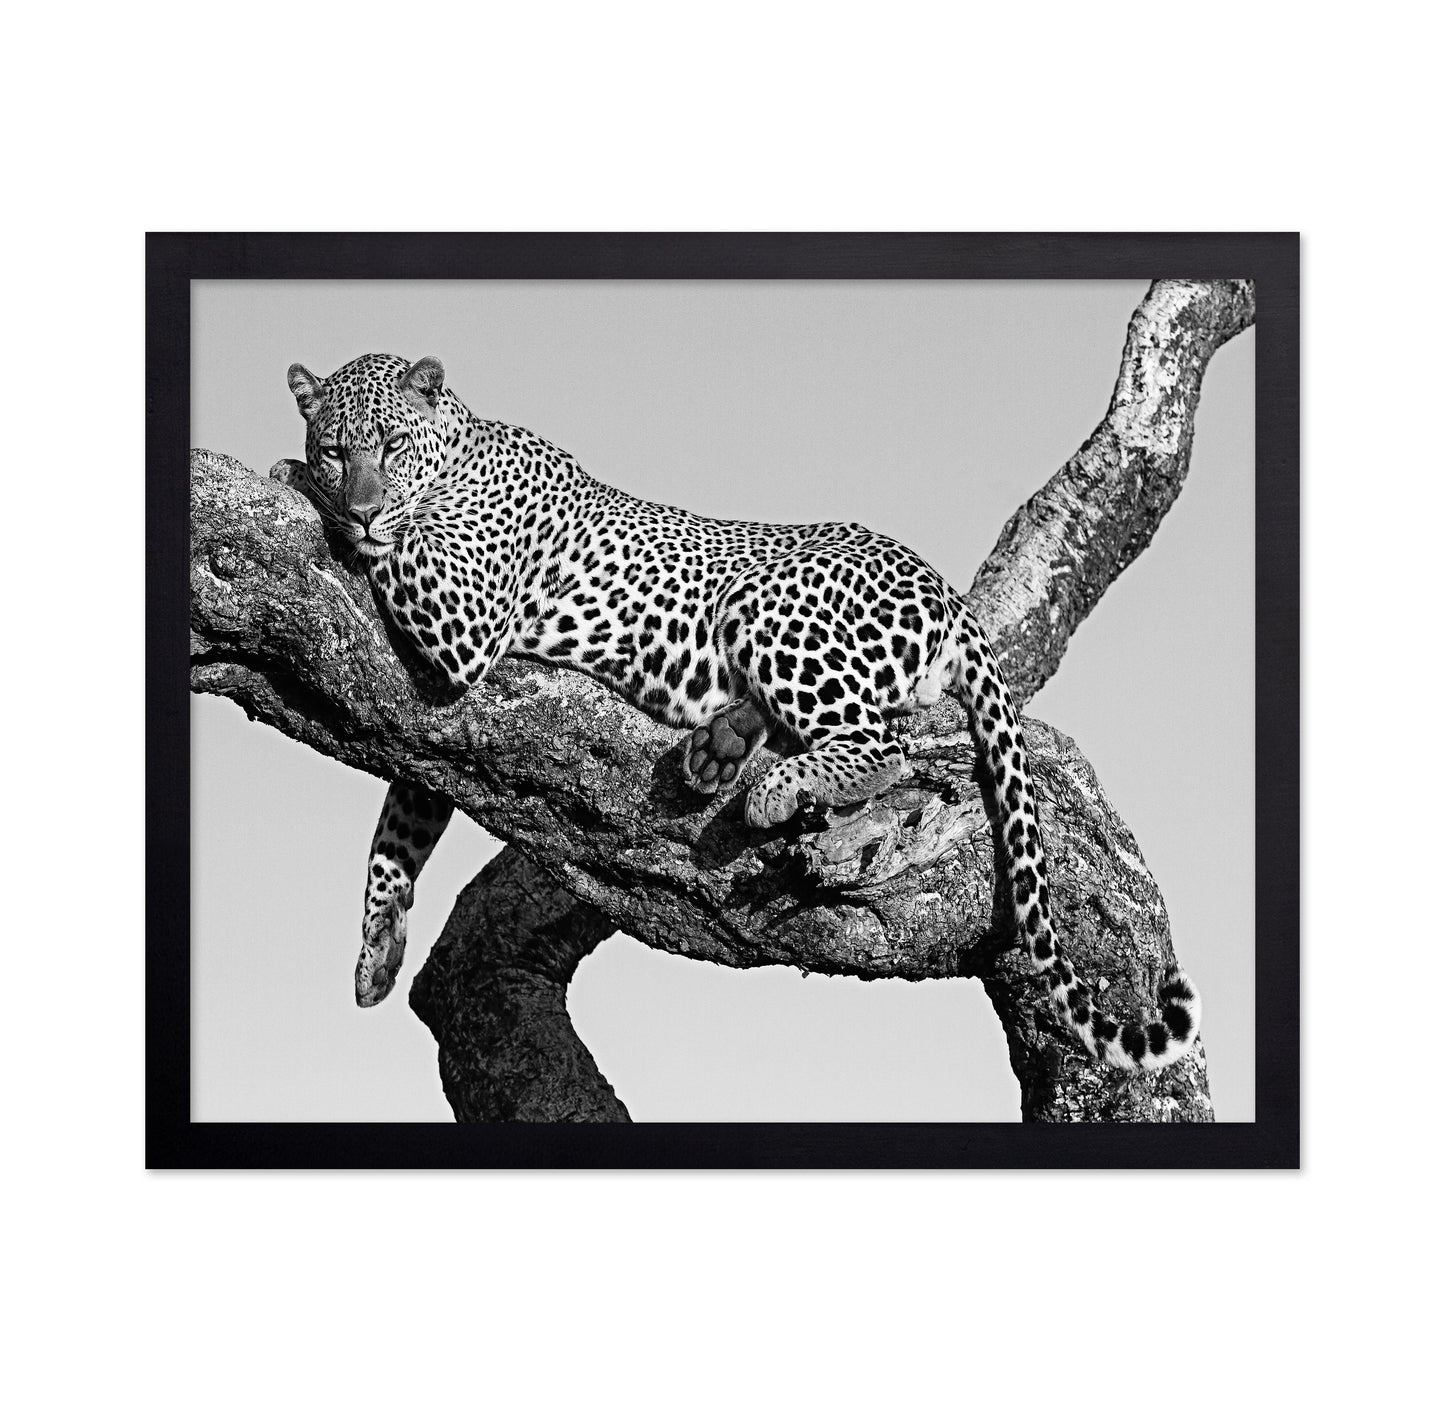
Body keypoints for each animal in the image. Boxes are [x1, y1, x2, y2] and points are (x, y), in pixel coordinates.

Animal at [274, 351, 1201, 1073]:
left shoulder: (462, 617)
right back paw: (719, 746)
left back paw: (772, 785)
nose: (358, 504)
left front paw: (297, 484)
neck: (460, 448)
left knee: (885, 742)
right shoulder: (432, 724)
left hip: (768, 599)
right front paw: (377, 947)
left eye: (390, 446)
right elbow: (402, 821)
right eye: (337, 449)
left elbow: (400, 553)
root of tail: (943, 589)